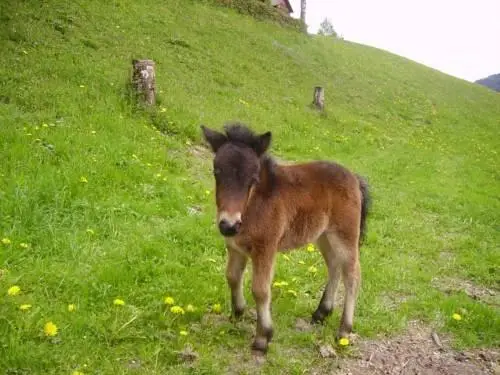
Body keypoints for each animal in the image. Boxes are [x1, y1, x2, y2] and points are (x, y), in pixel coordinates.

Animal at [201, 122, 370, 356]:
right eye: (216, 172)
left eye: (253, 179)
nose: (229, 225)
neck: (254, 205)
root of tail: (354, 178)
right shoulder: (235, 247)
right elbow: (232, 277)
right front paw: (237, 314)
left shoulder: (265, 249)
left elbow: (260, 290)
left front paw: (263, 338)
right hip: (323, 235)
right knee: (335, 266)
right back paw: (321, 313)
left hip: (344, 235)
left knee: (352, 274)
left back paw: (344, 330)